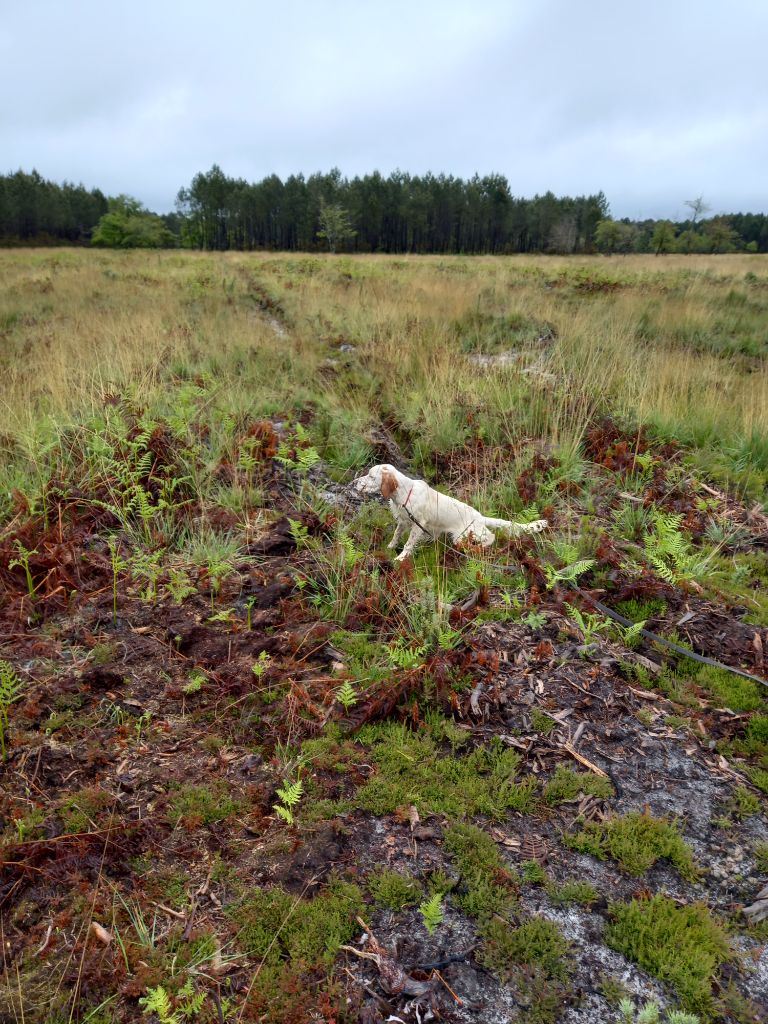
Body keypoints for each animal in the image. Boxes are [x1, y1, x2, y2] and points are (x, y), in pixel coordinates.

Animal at [354, 464, 548, 561]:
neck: (404, 494)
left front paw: (401, 558)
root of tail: (479, 517)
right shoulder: (403, 520)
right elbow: (396, 535)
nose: (355, 482)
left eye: (371, 476)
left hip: (464, 535)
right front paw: (390, 547)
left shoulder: (418, 524)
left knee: (490, 537)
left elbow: (408, 543)